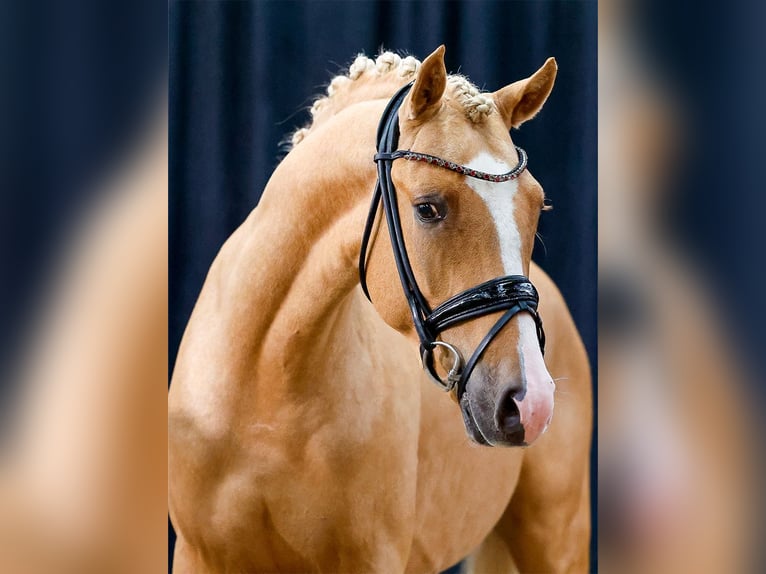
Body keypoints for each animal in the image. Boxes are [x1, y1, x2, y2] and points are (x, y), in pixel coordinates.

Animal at [171, 47, 592, 572]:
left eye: (537, 206)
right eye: (429, 208)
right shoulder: (196, 555)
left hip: (558, 537)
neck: (265, 384)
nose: (530, 402)